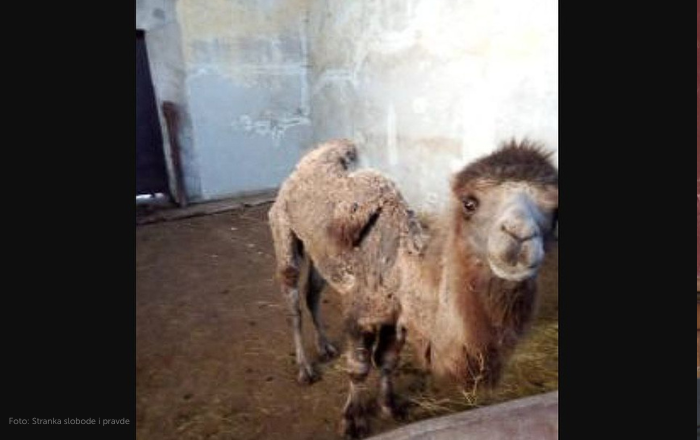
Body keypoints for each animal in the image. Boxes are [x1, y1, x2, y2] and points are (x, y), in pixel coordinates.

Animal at [268, 138, 558, 438]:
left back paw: (325, 347)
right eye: (469, 203)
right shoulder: (362, 313)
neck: (401, 268)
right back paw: (305, 369)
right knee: (293, 300)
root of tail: (308, 160)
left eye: (556, 212)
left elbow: (387, 361)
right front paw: (352, 420)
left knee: (313, 292)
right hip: (282, 228)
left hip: (321, 253)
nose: (520, 237)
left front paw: (390, 406)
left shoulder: (398, 318)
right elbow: (359, 367)